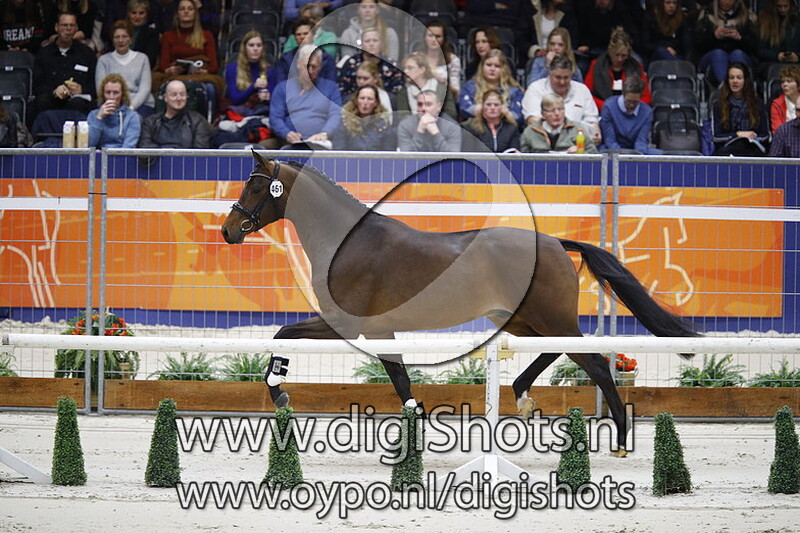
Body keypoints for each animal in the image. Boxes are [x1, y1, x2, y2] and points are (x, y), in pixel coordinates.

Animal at [221, 151, 699, 453]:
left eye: (255, 187)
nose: (227, 231)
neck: (348, 243)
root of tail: (554, 243)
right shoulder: (378, 328)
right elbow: (400, 380)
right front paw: (416, 423)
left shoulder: (346, 322)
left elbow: (283, 332)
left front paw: (279, 391)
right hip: (524, 319)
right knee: (558, 353)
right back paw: (523, 397)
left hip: (549, 317)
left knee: (596, 363)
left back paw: (619, 439)